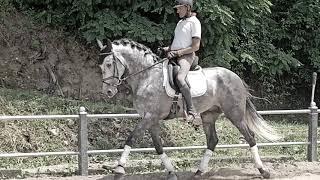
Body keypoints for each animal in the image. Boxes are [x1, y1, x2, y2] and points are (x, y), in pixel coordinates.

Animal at [97, 38, 280, 179]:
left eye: (109, 64)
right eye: (101, 67)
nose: (107, 92)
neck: (147, 77)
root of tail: (235, 77)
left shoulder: (150, 117)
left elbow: (131, 138)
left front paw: (119, 169)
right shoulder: (151, 119)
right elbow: (158, 146)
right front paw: (171, 173)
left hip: (235, 114)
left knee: (250, 138)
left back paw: (263, 171)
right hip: (209, 115)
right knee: (212, 140)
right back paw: (199, 172)